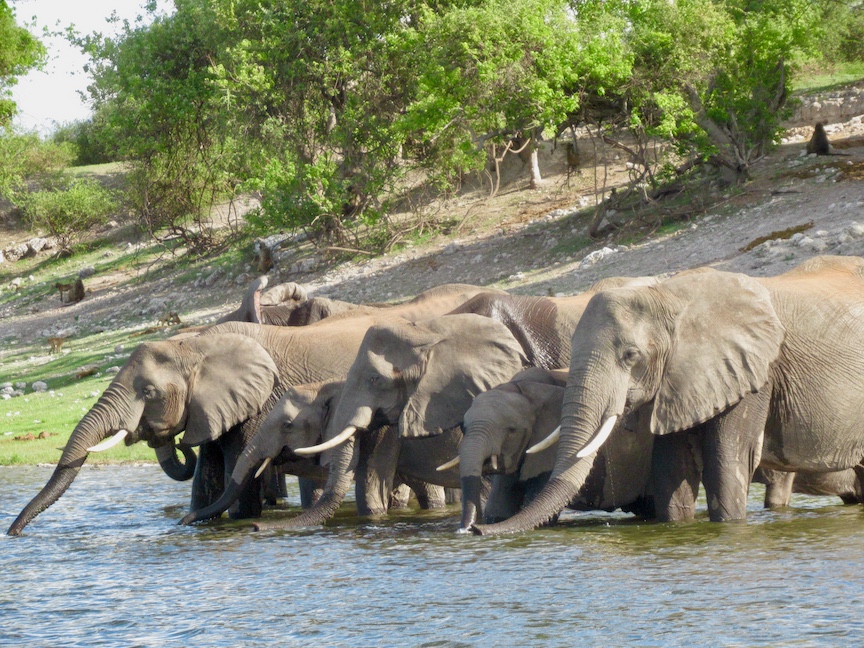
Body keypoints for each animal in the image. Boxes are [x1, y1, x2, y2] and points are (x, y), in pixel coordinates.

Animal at [476, 256, 864, 536]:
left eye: (630, 356)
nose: (478, 531)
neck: (668, 294)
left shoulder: (756, 374)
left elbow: (727, 462)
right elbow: (671, 470)